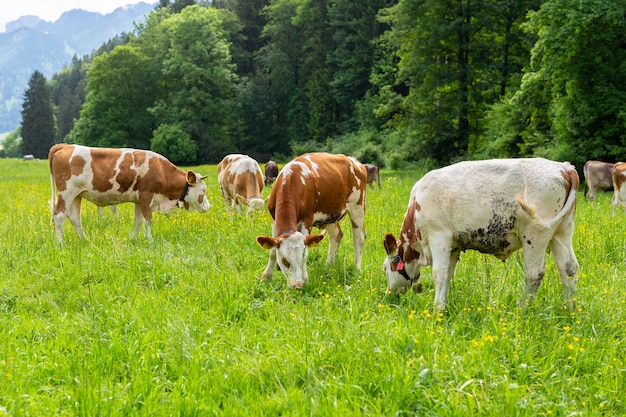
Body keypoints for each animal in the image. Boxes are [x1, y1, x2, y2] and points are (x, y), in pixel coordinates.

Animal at [48, 144, 210, 244]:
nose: (208, 207)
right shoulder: (146, 197)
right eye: (203, 191)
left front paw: (133, 239)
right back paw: (61, 244)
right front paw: (150, 241)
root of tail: (66, 146)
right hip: (67, 192)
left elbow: (138, 221)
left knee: (75, 218)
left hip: (77, 195)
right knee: (59, 215)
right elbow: (148, 221)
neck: (160, 170)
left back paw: (85, 241)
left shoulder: (139, 201)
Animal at [256, 151, 368, 288]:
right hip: (331, 214)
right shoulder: (274, 219)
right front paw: (266, 277)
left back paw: (357, 269)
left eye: (302, 257)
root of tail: (354, 161)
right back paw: (328, 267)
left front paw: (306, 279)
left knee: (359, 238)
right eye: (284, 260)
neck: (291, 181)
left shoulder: (307, 220)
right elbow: (272, 251)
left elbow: (307, 250)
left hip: (357, 206)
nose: (297, 285)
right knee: (336, 235)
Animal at [382, 158, 576, 310]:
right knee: (568, 268)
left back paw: (521, 310)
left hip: (535, 233)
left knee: (534, 273)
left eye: (385, 268)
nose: (389, 294)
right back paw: (570, 309)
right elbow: (448, 276)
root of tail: (564, 167)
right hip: (562, 232)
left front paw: (436, 309)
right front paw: (443, 307)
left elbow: (439, 274)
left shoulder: (439, 236)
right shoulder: (454, 246)